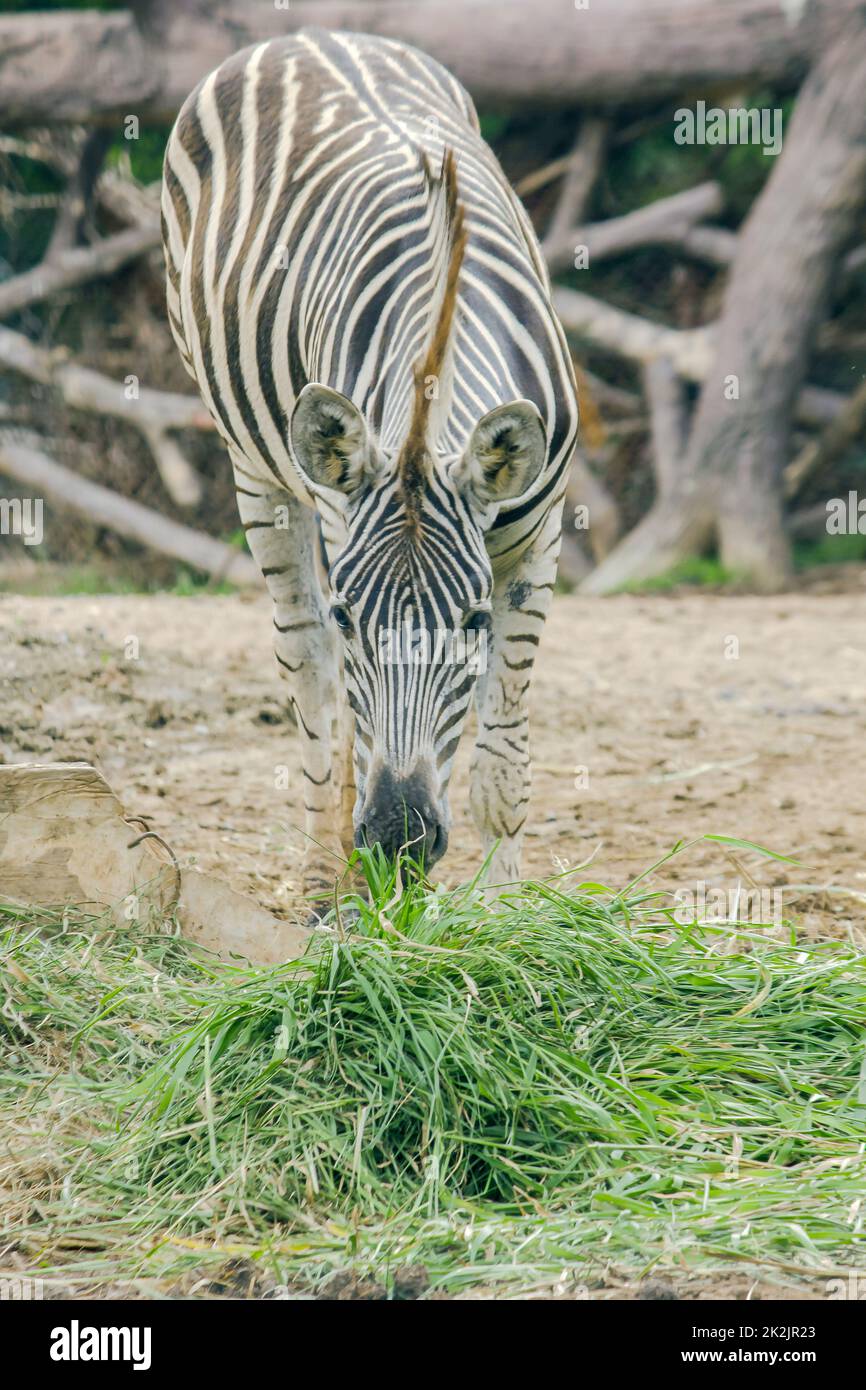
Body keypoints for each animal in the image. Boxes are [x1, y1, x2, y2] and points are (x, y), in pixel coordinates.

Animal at [161, 28, 578, 899]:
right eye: (355, 618)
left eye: (474, 620)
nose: (398, 838)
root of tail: (305, 35)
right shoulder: (338, 525)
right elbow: (347, 714)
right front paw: (375, 907)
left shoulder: (540, 535)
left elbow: (501, 765)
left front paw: (506, 914)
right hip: (258, 473)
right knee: (312, 682)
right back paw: (329, 884)